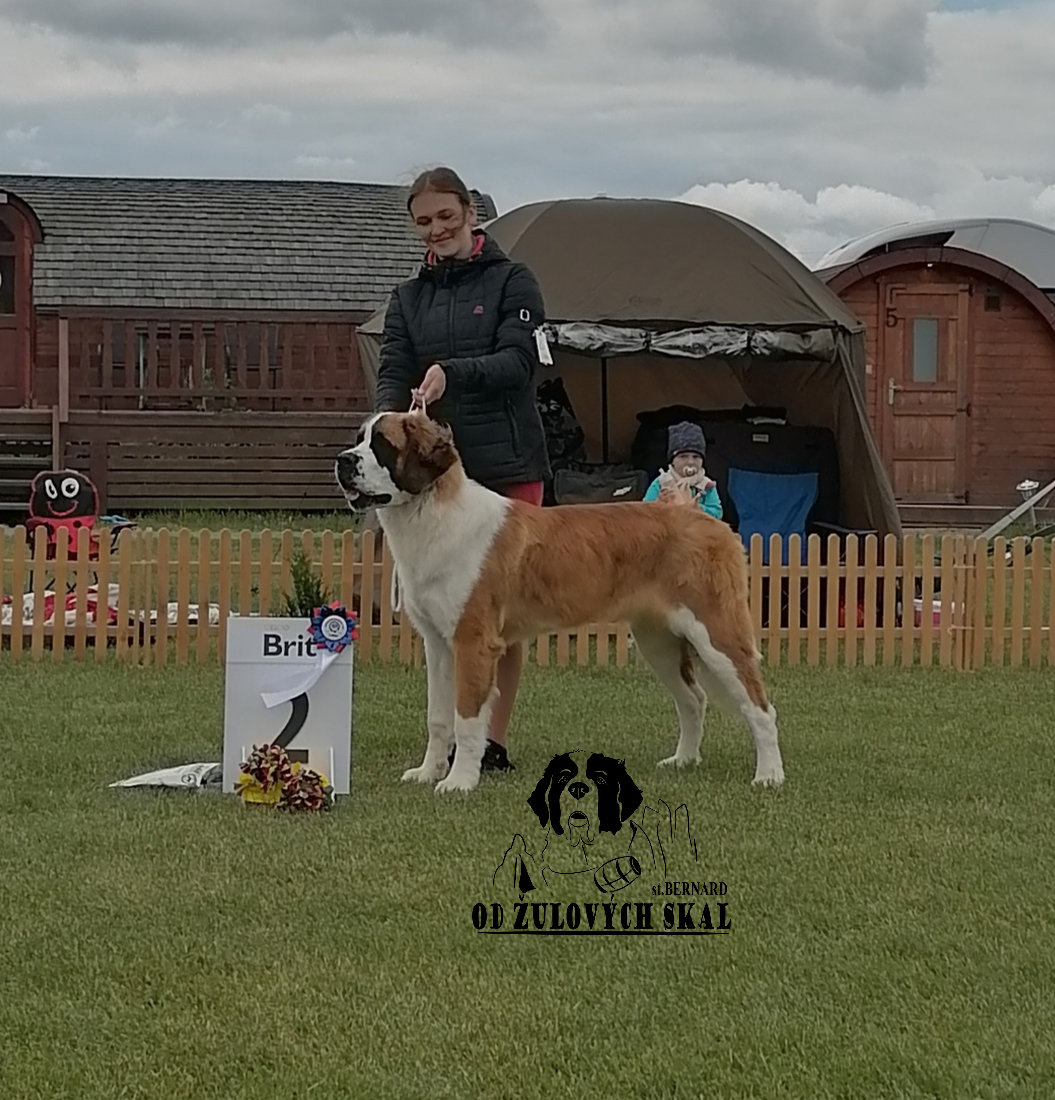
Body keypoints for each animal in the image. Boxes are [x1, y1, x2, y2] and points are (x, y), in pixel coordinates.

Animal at [334, 411, 785, 795]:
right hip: (659, 642)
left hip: (717, 634)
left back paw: (769, 775)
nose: (342, 461)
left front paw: (459, 781)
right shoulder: (438, 644)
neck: (432, 515)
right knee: (693, 699)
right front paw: (429, 772)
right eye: (359, 440)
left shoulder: (473, 642)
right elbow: (439, 716)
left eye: (383, 445)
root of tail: (710, 521)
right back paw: (683, 761)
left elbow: (466, 717)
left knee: (761, 707)